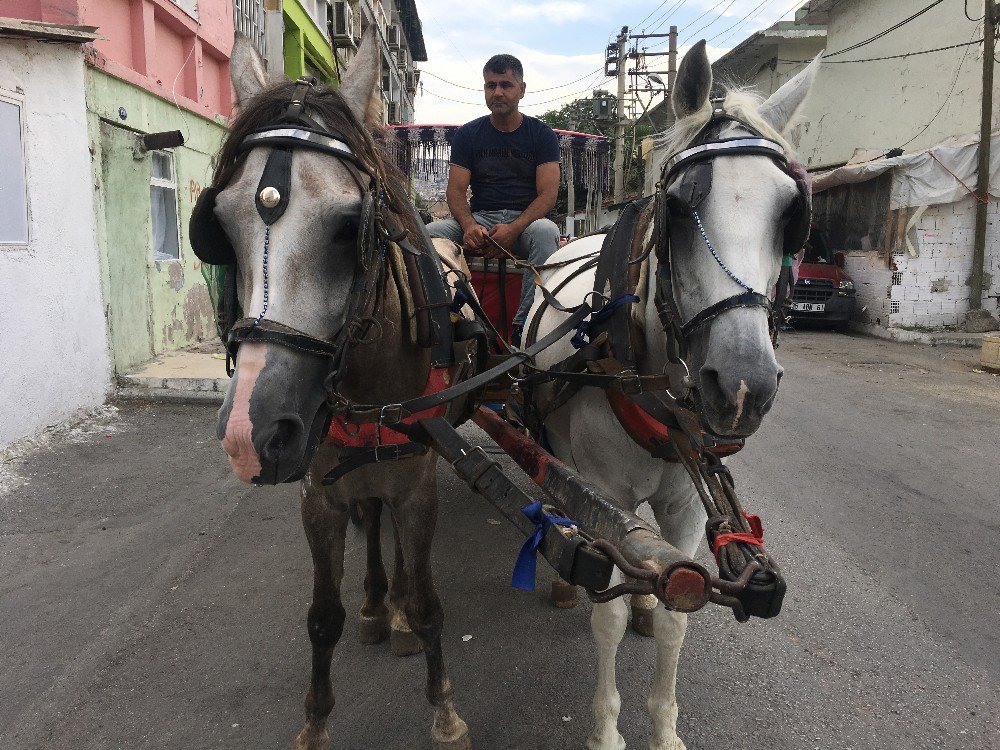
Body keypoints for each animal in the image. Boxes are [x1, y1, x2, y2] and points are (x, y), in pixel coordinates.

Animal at [528, 42, 816, 750]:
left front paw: (663, 727)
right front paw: (607, 730)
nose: (741, 385)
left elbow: (680, 610)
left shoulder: (686, 503)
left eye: (791, 215)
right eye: (680, 208)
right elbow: (602, 610)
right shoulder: (601, 490)